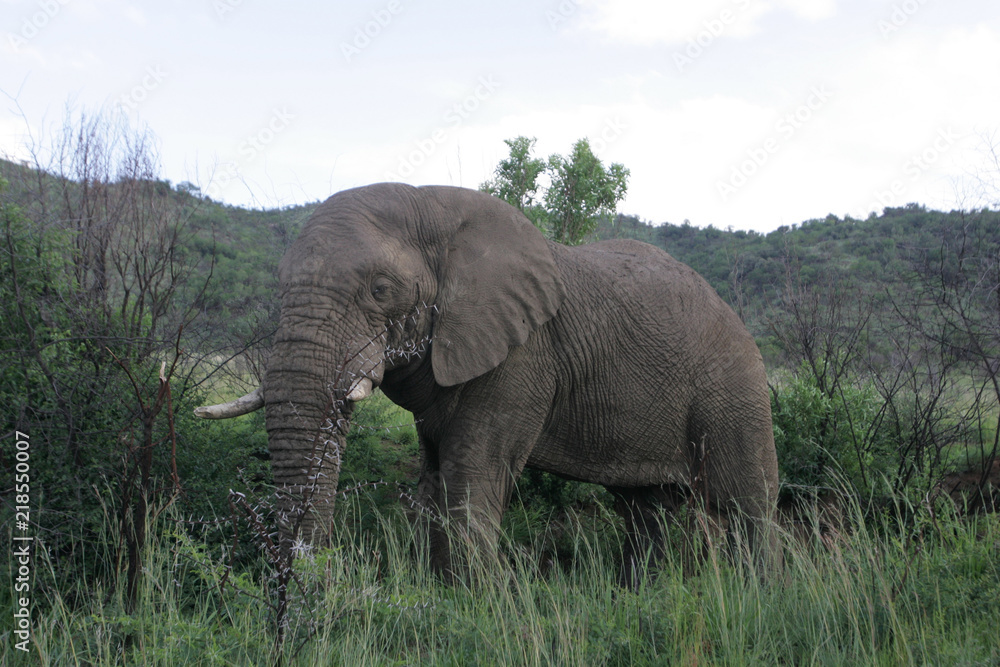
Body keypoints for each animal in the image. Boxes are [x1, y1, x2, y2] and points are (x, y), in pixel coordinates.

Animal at [196, 183, 780, 583]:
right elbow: (435, 475)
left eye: (381, 289)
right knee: (646, 508)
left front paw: (470, 603)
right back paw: (643, 594)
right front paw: (438, 594)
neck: (431, 207)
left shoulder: (524, 355)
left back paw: (760, 591)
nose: (313, 581)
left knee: (746, 504)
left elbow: (474, 469)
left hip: (735, 387)